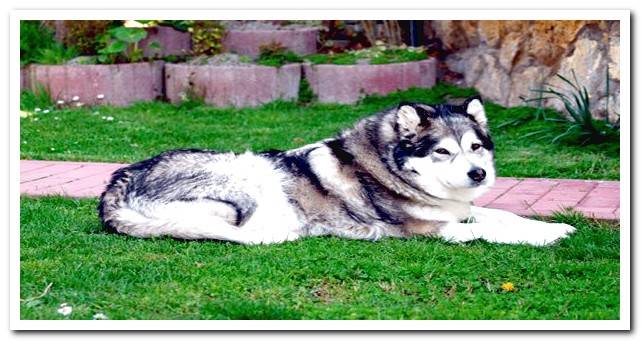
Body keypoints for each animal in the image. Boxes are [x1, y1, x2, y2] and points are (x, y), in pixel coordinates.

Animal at [99, 97, 576, 246]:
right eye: (442, 151)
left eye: (476, 147)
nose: (478, 175)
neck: (388, 168)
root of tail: (113, 189)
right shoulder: (427, 230)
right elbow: (488, 229)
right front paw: (545, 237)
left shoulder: (460, 210)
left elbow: (504, 216)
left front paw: (553, 227)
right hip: (248, 178)